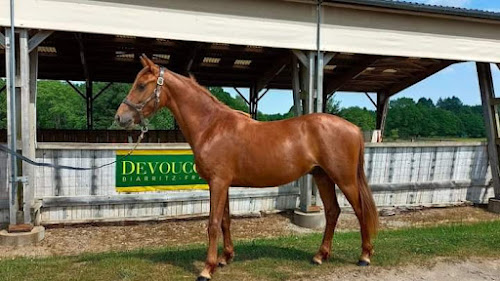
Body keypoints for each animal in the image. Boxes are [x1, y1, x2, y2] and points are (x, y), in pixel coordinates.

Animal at [115, 55, 376, 280]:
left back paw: (364, 256)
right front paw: (225, 258)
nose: (120, 118)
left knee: (360, 211)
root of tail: (353, 128)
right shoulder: (223, 184)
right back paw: (320, 256)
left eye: (141, 85)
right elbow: (225, 221)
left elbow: (212, 224)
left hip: (344, 179)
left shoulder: (218, 183)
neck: (211, 127)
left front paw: (207, 269)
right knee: (332, 212)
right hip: (322, 176)